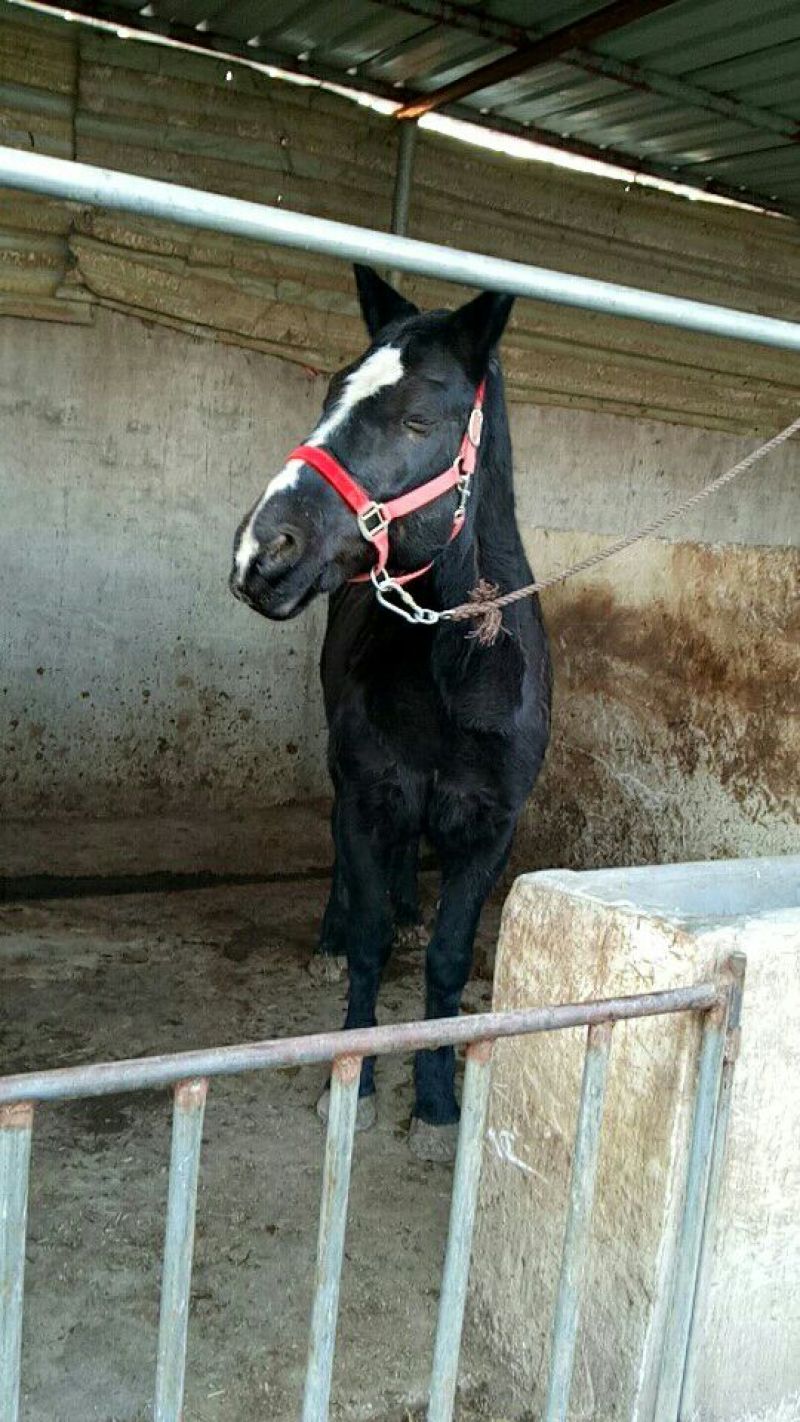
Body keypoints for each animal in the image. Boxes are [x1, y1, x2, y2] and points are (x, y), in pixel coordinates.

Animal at [231, 265, 551, 1158]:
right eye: (331, 394)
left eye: (417, 419)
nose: (263, 552)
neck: (456, 667)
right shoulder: (372, 794)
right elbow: (370, 937)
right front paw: (358, 1082)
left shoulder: (489, 828)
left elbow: (447, 959)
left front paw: (437, 1101)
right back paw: (332, 939)